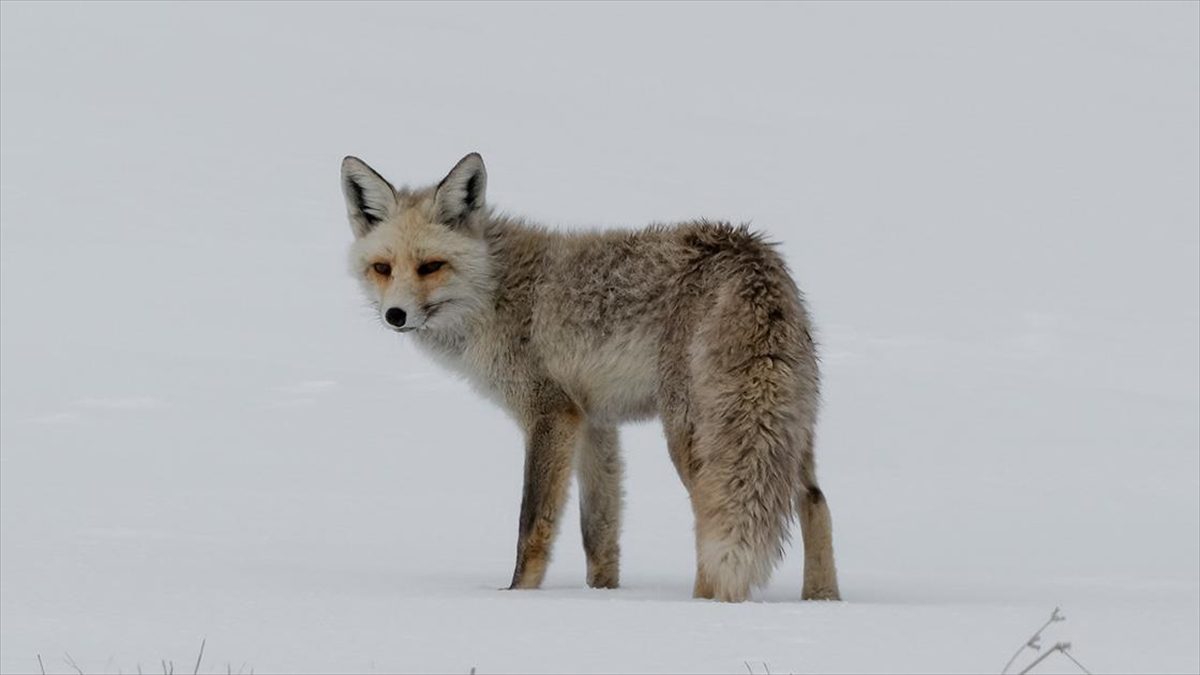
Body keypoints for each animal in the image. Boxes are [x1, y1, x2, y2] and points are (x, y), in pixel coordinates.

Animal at [340, 152, 844, 598]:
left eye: (431, 267)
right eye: (382, 268)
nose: (395, 316)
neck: (498, 295)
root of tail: (751, 252)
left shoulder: (551, 414)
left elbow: (533, 523)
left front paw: (517, 595)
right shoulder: (595, 421)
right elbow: (599, 533)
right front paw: (602, 598)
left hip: (690, 434)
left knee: (712, 514)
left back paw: (707, 603)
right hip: (787, 428)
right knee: (815, 501)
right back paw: (823, 601)